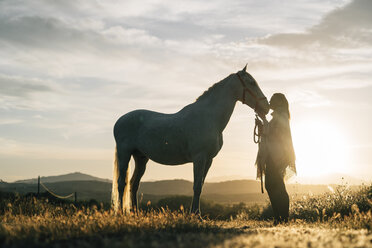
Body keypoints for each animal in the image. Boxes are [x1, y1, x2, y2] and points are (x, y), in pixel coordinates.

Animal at [112, 65, 268, 214]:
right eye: (252, 83)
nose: (266, 107)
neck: (209, 117)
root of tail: (119, 121)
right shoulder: (199, 158)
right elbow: (197, 186)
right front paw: (195, 214)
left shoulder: (209, 159)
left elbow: (201, 185)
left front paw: (196, 213)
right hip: (124, 154)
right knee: (121, 183)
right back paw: (120, 213)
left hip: (141, 158)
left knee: (134, 184)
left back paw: (135, 213)